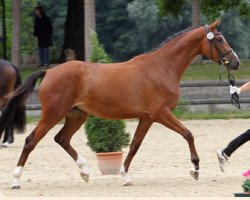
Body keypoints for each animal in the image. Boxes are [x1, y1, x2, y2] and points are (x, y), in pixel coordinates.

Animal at [0, 19, 238, 189]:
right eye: (218, 39)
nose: (235, 62)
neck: (162, 67)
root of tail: (49, 72)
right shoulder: (161, 113)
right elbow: (188, 134)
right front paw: (195, 169)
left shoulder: (147, 117)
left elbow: (134, 145)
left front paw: (125, 176)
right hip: (52, 114)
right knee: (31, 141)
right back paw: (16, 180)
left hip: (77, 115)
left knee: (62, 139)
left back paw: (85, 171)